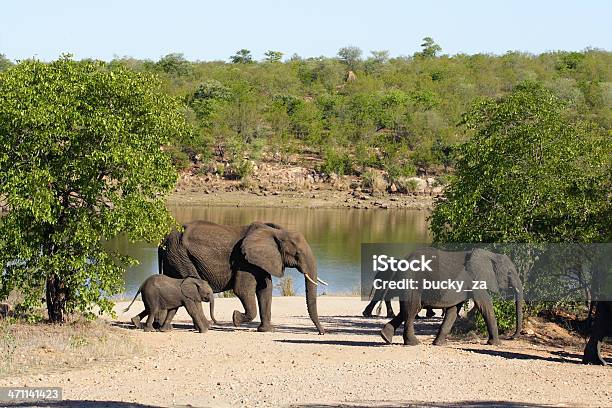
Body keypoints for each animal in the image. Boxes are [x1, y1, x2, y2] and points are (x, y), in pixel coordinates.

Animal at [160, 222, 328, 334]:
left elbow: (265, 290)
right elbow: (242, 290)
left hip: (174, 258)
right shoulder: (244, 261)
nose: (321, 332)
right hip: (181, 257)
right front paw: (235, 318)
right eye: (297, 254)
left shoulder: (260, 261)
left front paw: (267, 330)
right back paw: (205, 327)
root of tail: (164, 240)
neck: (274, 232)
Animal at [380, 247, 524, 346]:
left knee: (407, 309)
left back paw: (385, 336)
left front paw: (439, 344)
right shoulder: (475, 279)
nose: (511, 337)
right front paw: (496, 344)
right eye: (509, 273)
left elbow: (453, 310)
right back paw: (413, 343)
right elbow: (485, 305)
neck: (491, 255)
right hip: (412, 280)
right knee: (411, 309)